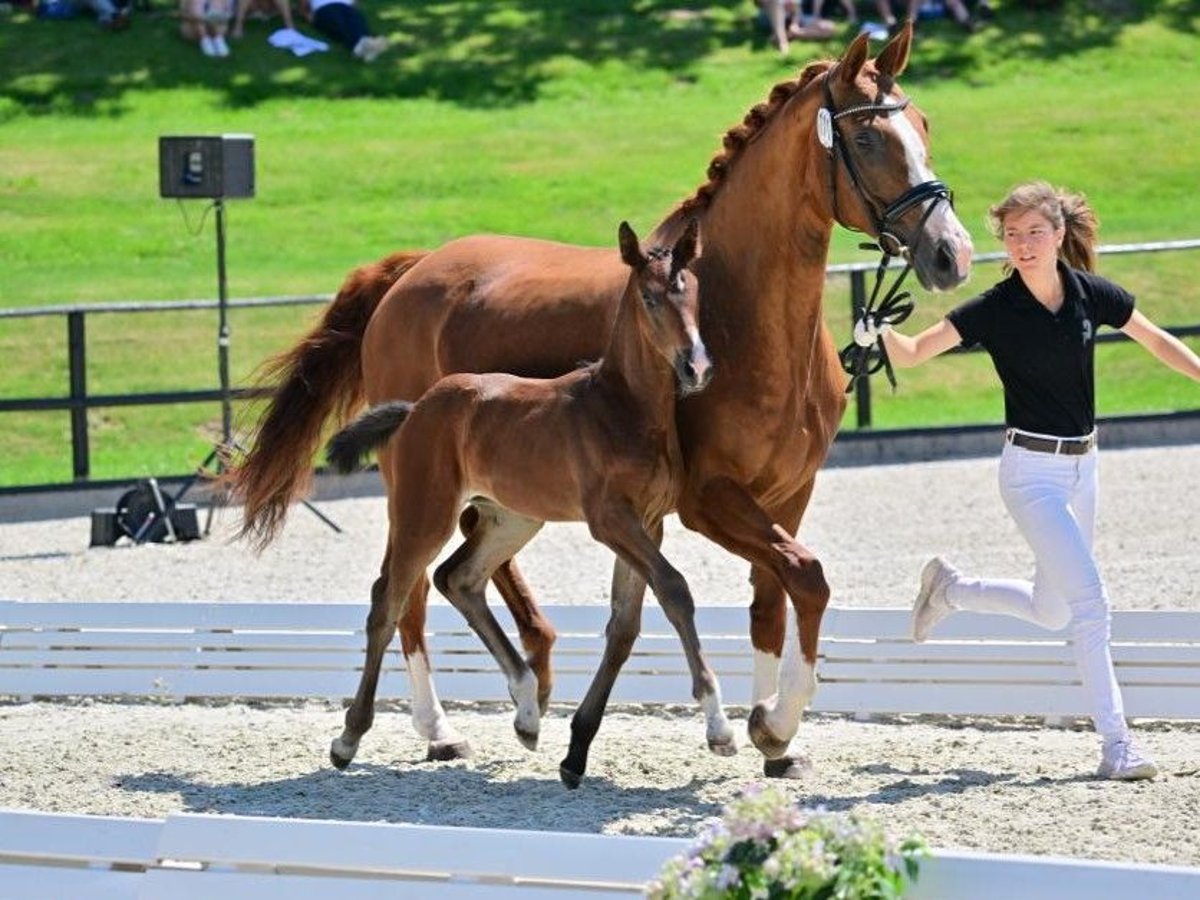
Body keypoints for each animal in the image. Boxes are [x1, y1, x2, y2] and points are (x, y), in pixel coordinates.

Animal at [324, 220, 729, 787]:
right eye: (649, 298)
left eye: (692, 291)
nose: (696, 368)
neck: (623, 408)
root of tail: (417, 406)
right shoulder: (610, 519)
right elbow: (674, 587)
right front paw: (720, 729)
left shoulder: (648, 522)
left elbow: (629, 622)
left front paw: (575, 753)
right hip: (425, 511)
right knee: (390, 600)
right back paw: (349, 739)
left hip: (511, 519)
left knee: (457, 578)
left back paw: (528, 714)